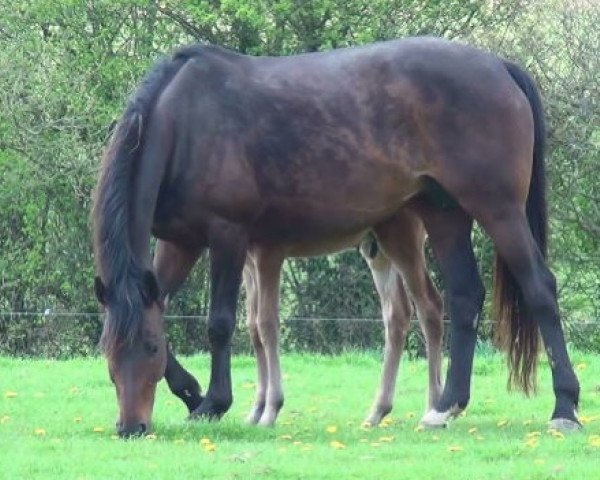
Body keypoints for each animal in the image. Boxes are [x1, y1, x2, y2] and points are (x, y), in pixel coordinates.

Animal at [92, 35, 580, 436]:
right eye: (108, 354)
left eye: (150, 348)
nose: (131, 427)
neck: (186, 122)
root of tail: (499, 65)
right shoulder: (180, 242)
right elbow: (162, 303)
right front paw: (192, 393)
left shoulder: (227, 236)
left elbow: (220, 323)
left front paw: (214, 402)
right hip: (444, 216)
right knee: (462, 298)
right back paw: (444, 407)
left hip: (498, 210)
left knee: (539, 288)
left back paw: (564, 408)